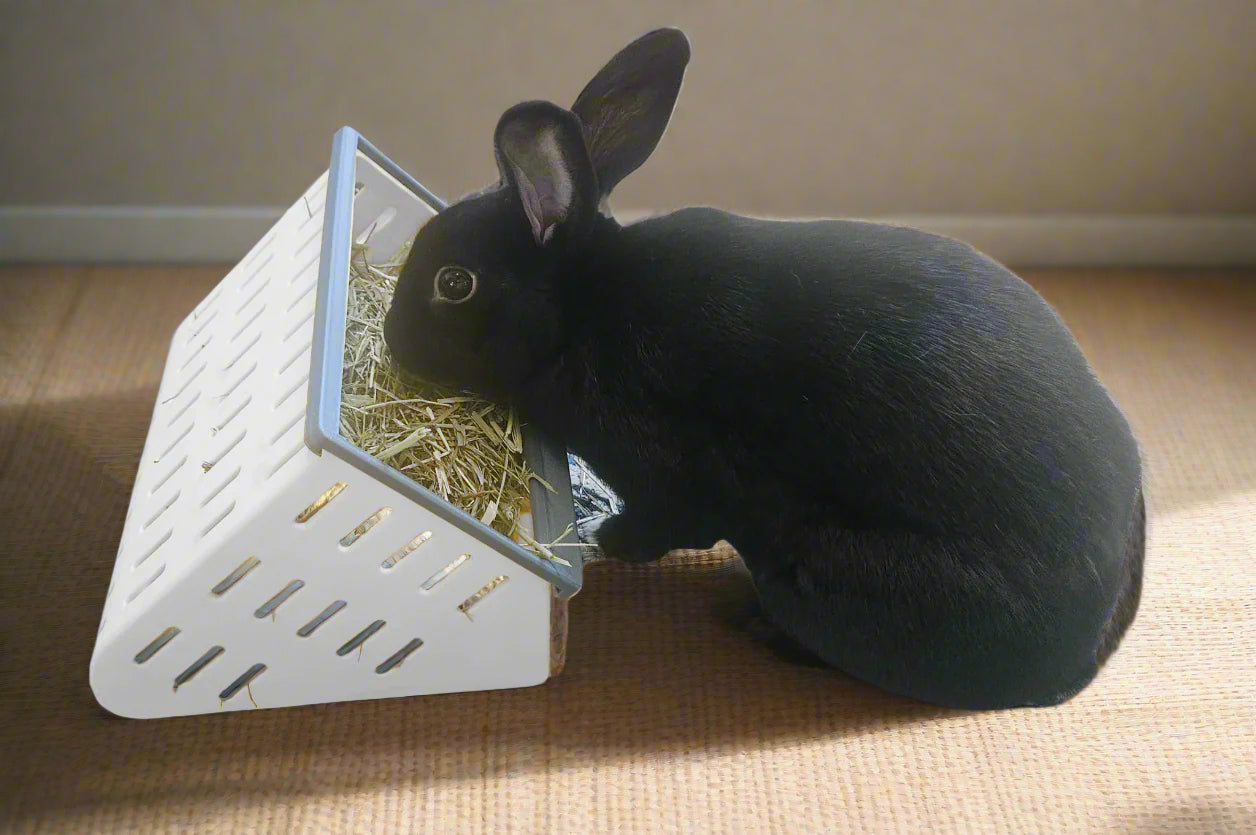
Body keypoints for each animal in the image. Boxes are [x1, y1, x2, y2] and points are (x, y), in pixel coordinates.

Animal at [382, 27, 1146, 711]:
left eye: (454, 283)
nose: (392, 340)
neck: (584, 312)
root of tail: (1083, 654)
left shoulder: (677, 474)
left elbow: (666, 523)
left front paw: (607, 537)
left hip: (817, 570)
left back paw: (759, 624)